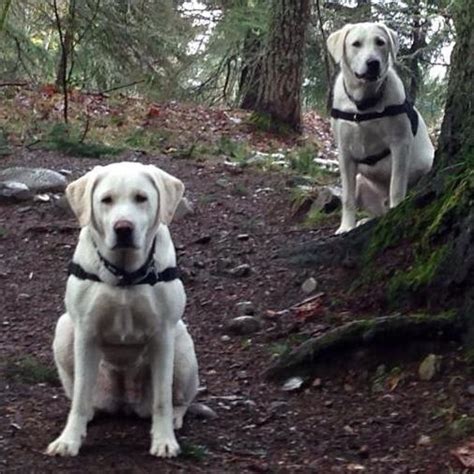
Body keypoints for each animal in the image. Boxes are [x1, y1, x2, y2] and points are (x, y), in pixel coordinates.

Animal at [45, 161, 198, 458]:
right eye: (106, 200)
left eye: (141, 198)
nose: (123, 228)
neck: (125, 274)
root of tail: (125, 401)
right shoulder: (85, 333)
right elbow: (79, 397)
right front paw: (69, 440)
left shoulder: (163, 336)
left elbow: (162, 398)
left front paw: (164, 440)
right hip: (64, 329)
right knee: (81, 394)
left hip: (184, 348)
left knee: (179, 399)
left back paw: (175, 417)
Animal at [328, 22, 436, 233]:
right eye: (356, 44)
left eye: (380, 42)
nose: (373, 63)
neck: (364, 104)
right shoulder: (344, 153)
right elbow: (347, 198)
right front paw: (346, 226)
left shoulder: (400, 145)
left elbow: (396, 187)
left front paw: (397, 212)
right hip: (362, 181)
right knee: (375, 212)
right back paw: (364, 221)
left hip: (427, 164)